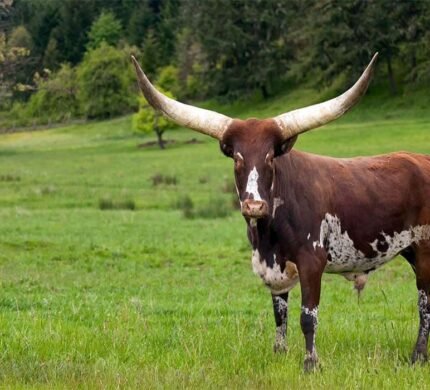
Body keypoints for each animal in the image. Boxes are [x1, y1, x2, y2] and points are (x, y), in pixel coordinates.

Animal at [131, 52, 430, 372]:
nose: (254, 206)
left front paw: (310, 363)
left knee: (424, 304)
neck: (268, 236)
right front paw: (279, 353)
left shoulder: (312, 261)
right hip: (411, 251)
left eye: (270, 158)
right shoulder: (272, 268)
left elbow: (307, 317)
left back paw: (417, 357)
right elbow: (280, 314)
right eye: (237, 157)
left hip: (425, 250)